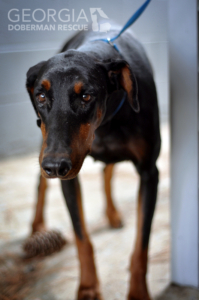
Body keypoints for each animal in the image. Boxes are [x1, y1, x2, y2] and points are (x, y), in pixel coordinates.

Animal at [25, 25, 161, 300]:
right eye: (41, 95)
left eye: (86, 96)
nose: (55, 167)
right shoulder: (67, 177)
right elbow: (81, 239)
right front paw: (88, 287)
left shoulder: (149, 173)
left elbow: (142, 244)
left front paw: (138, 292)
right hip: (45, 145)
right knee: (40, 183)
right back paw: (37, 225)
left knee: (107, 171)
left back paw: (112, 213)